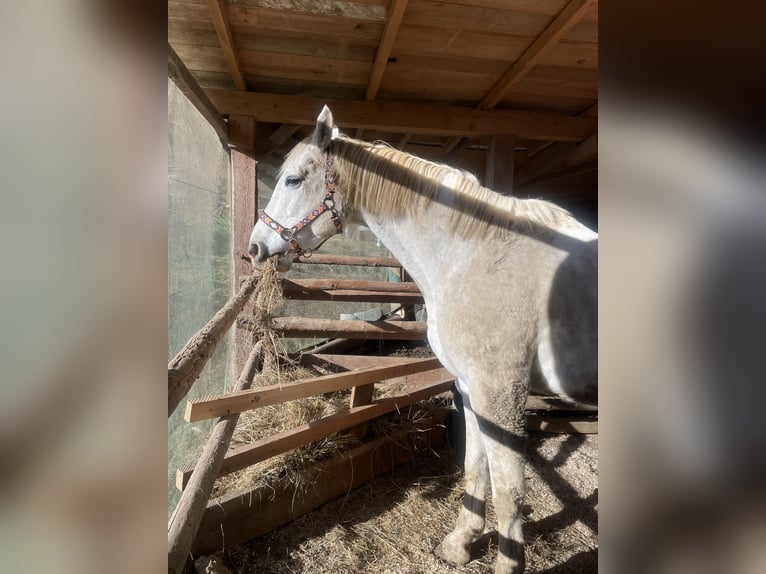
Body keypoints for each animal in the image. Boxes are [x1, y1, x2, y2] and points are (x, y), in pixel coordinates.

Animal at [249, 108, 596, 574]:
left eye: (291, 179)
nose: (255, 247)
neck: (475, 259)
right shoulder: (470, 387)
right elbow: (475, 466)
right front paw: (461, 543)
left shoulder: (500, 390)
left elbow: (509, 487)